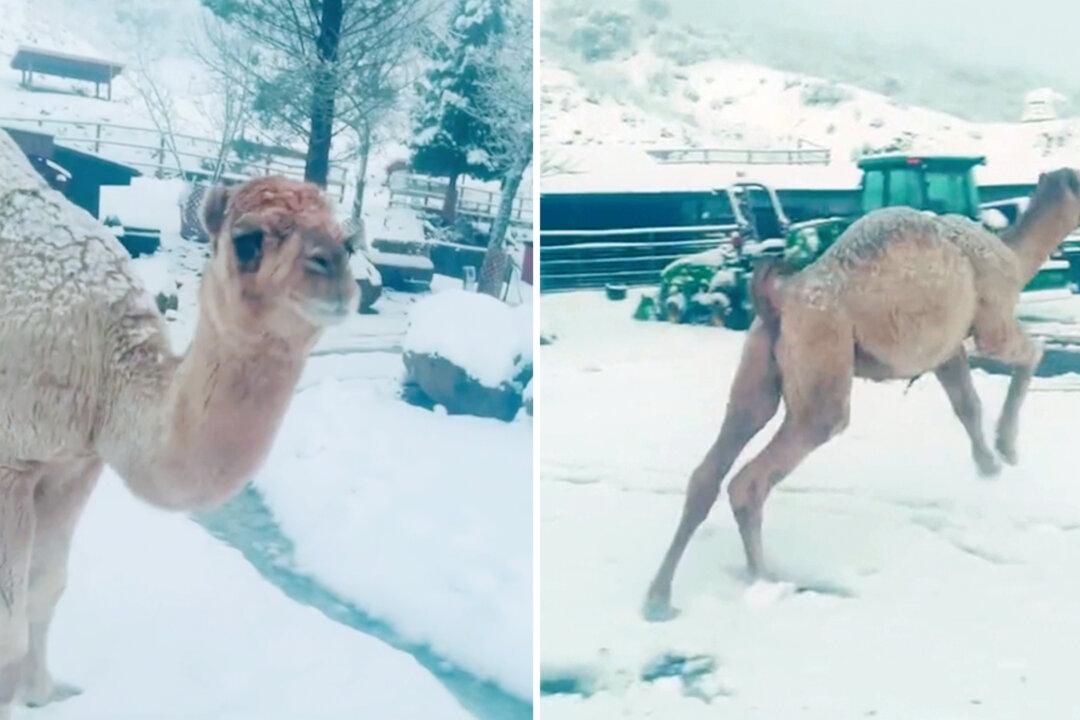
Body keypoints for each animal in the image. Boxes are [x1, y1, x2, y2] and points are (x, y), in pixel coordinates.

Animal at [0, 129, 356, 716]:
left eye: (348, 239)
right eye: (248, 238)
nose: (338, 275)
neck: (106, 370)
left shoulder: (75, 460)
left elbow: (44, 588)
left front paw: (41, 694)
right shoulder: (14, 457)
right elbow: (9, 614)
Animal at [644, 168, 1080, 620]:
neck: (1012, 254)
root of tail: (778, 300)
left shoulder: (946, 349)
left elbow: (967, 405)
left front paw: (989, 467)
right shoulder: (991, 321)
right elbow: (1031, 355)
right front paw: (1007, 450)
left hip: (757, 370)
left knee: (713, 465)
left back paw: (658, 598)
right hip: (823, 362)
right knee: (757, 476)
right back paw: (763, 582)